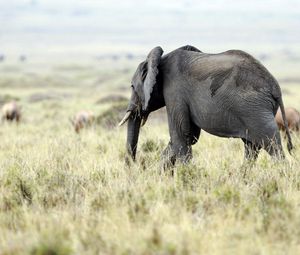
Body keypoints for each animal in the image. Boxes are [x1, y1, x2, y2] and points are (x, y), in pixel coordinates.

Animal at [119, 44, 292, 166]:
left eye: (132, 87)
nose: (133, 166)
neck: (161, 59)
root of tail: (276, 88)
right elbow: (189, 136)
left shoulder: (174, 91)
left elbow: (181, 135)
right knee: (251, 147)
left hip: (255, 110)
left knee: (271, 144)